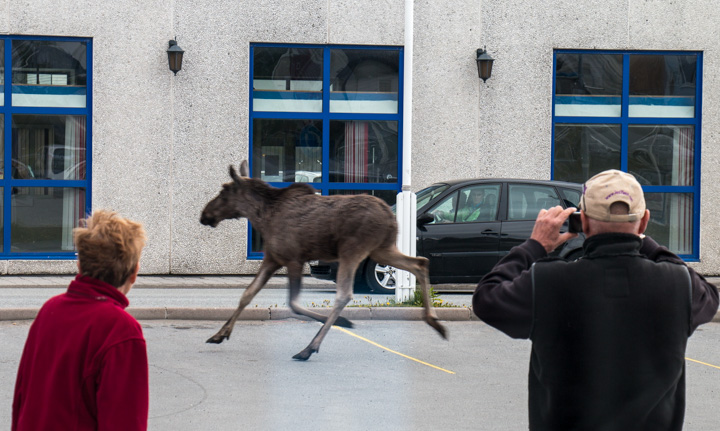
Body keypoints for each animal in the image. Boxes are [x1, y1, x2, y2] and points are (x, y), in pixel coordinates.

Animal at [200, 159, 448, 362]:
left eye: (224, 191)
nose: (204, 215)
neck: (263, 217)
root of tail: (390, 217)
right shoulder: (272, 258)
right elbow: (247, 294)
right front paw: (219, 334)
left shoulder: (294, 259)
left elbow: (293, 303)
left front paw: (344, 322)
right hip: (382, 250)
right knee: (420, 263)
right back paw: (435, 322)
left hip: (352, 251)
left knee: (344, 294)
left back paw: (309, 348)